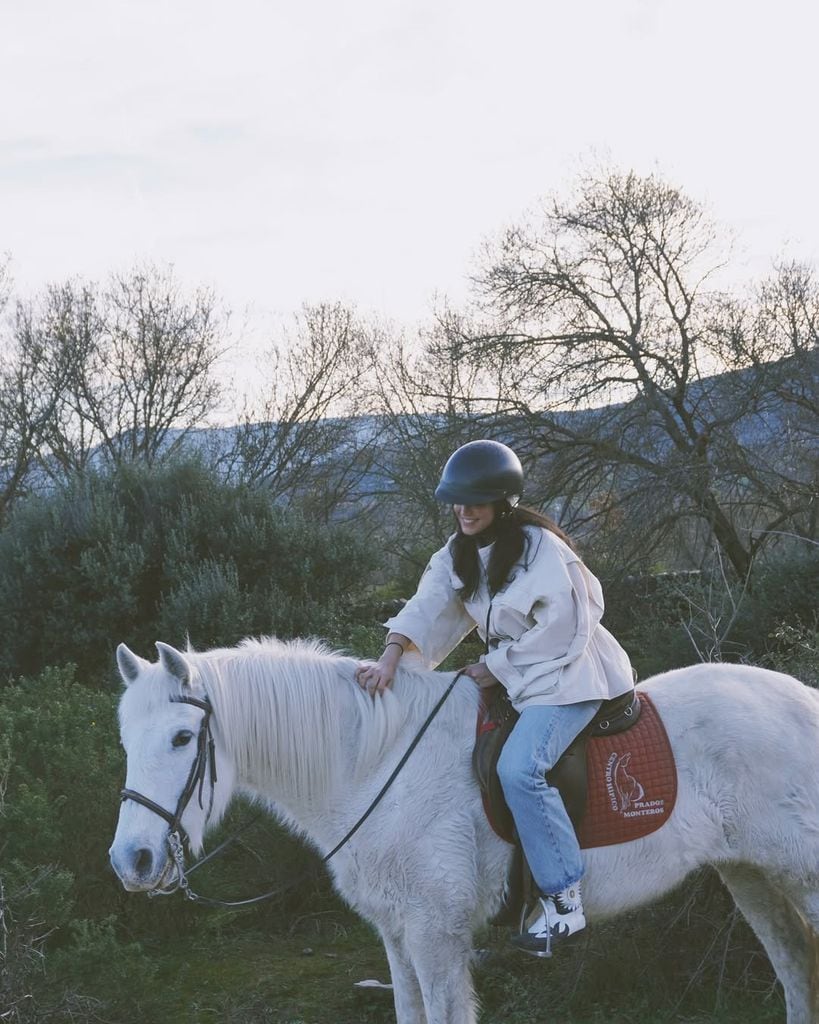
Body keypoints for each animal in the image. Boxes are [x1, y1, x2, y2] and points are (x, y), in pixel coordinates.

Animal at [108, 634, 818, 1019]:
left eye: (181, 738)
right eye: (125, 739)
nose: (131, 861)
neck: (376, 764)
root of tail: (805, 699)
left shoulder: (435, 934)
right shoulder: (397, 934)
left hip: (801, 876)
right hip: (752, 876)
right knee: (795, 974)